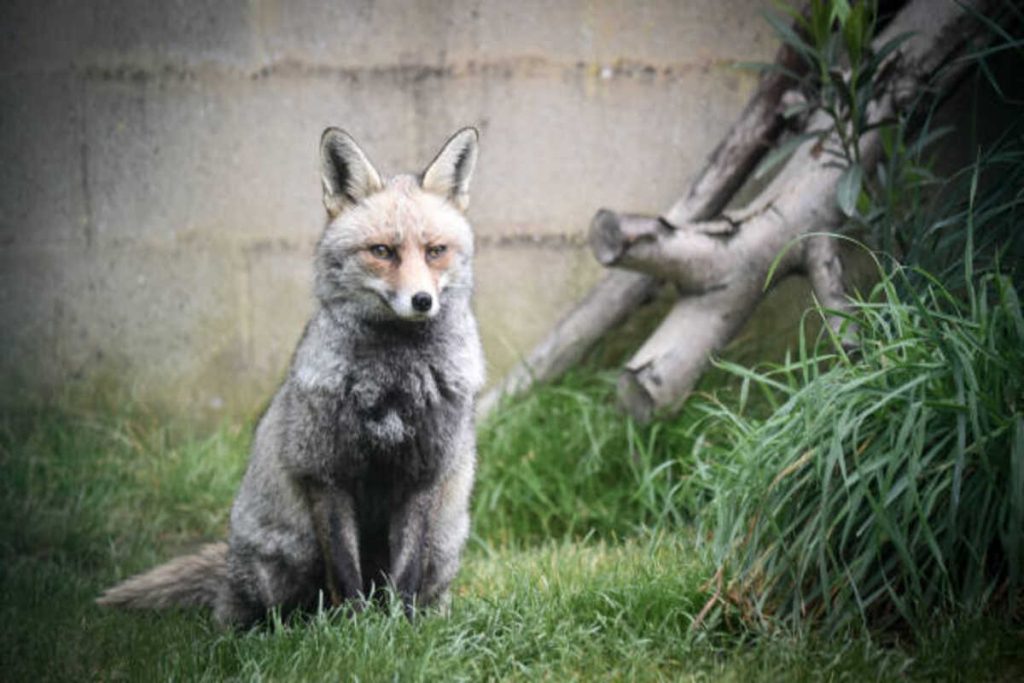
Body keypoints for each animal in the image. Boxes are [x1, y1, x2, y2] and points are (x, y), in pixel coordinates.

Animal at [97, 127, 485, 628]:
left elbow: (404, 576)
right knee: (261, 609)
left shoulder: (423, 475)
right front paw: (355, 630)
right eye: (382, 251)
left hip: (445, 543)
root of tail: (230, 563)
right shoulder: (323, 474)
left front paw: (398, 629)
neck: (393, 384)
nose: (422, 301)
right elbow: (346, 574)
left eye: (435, 251)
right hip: (287, 555)